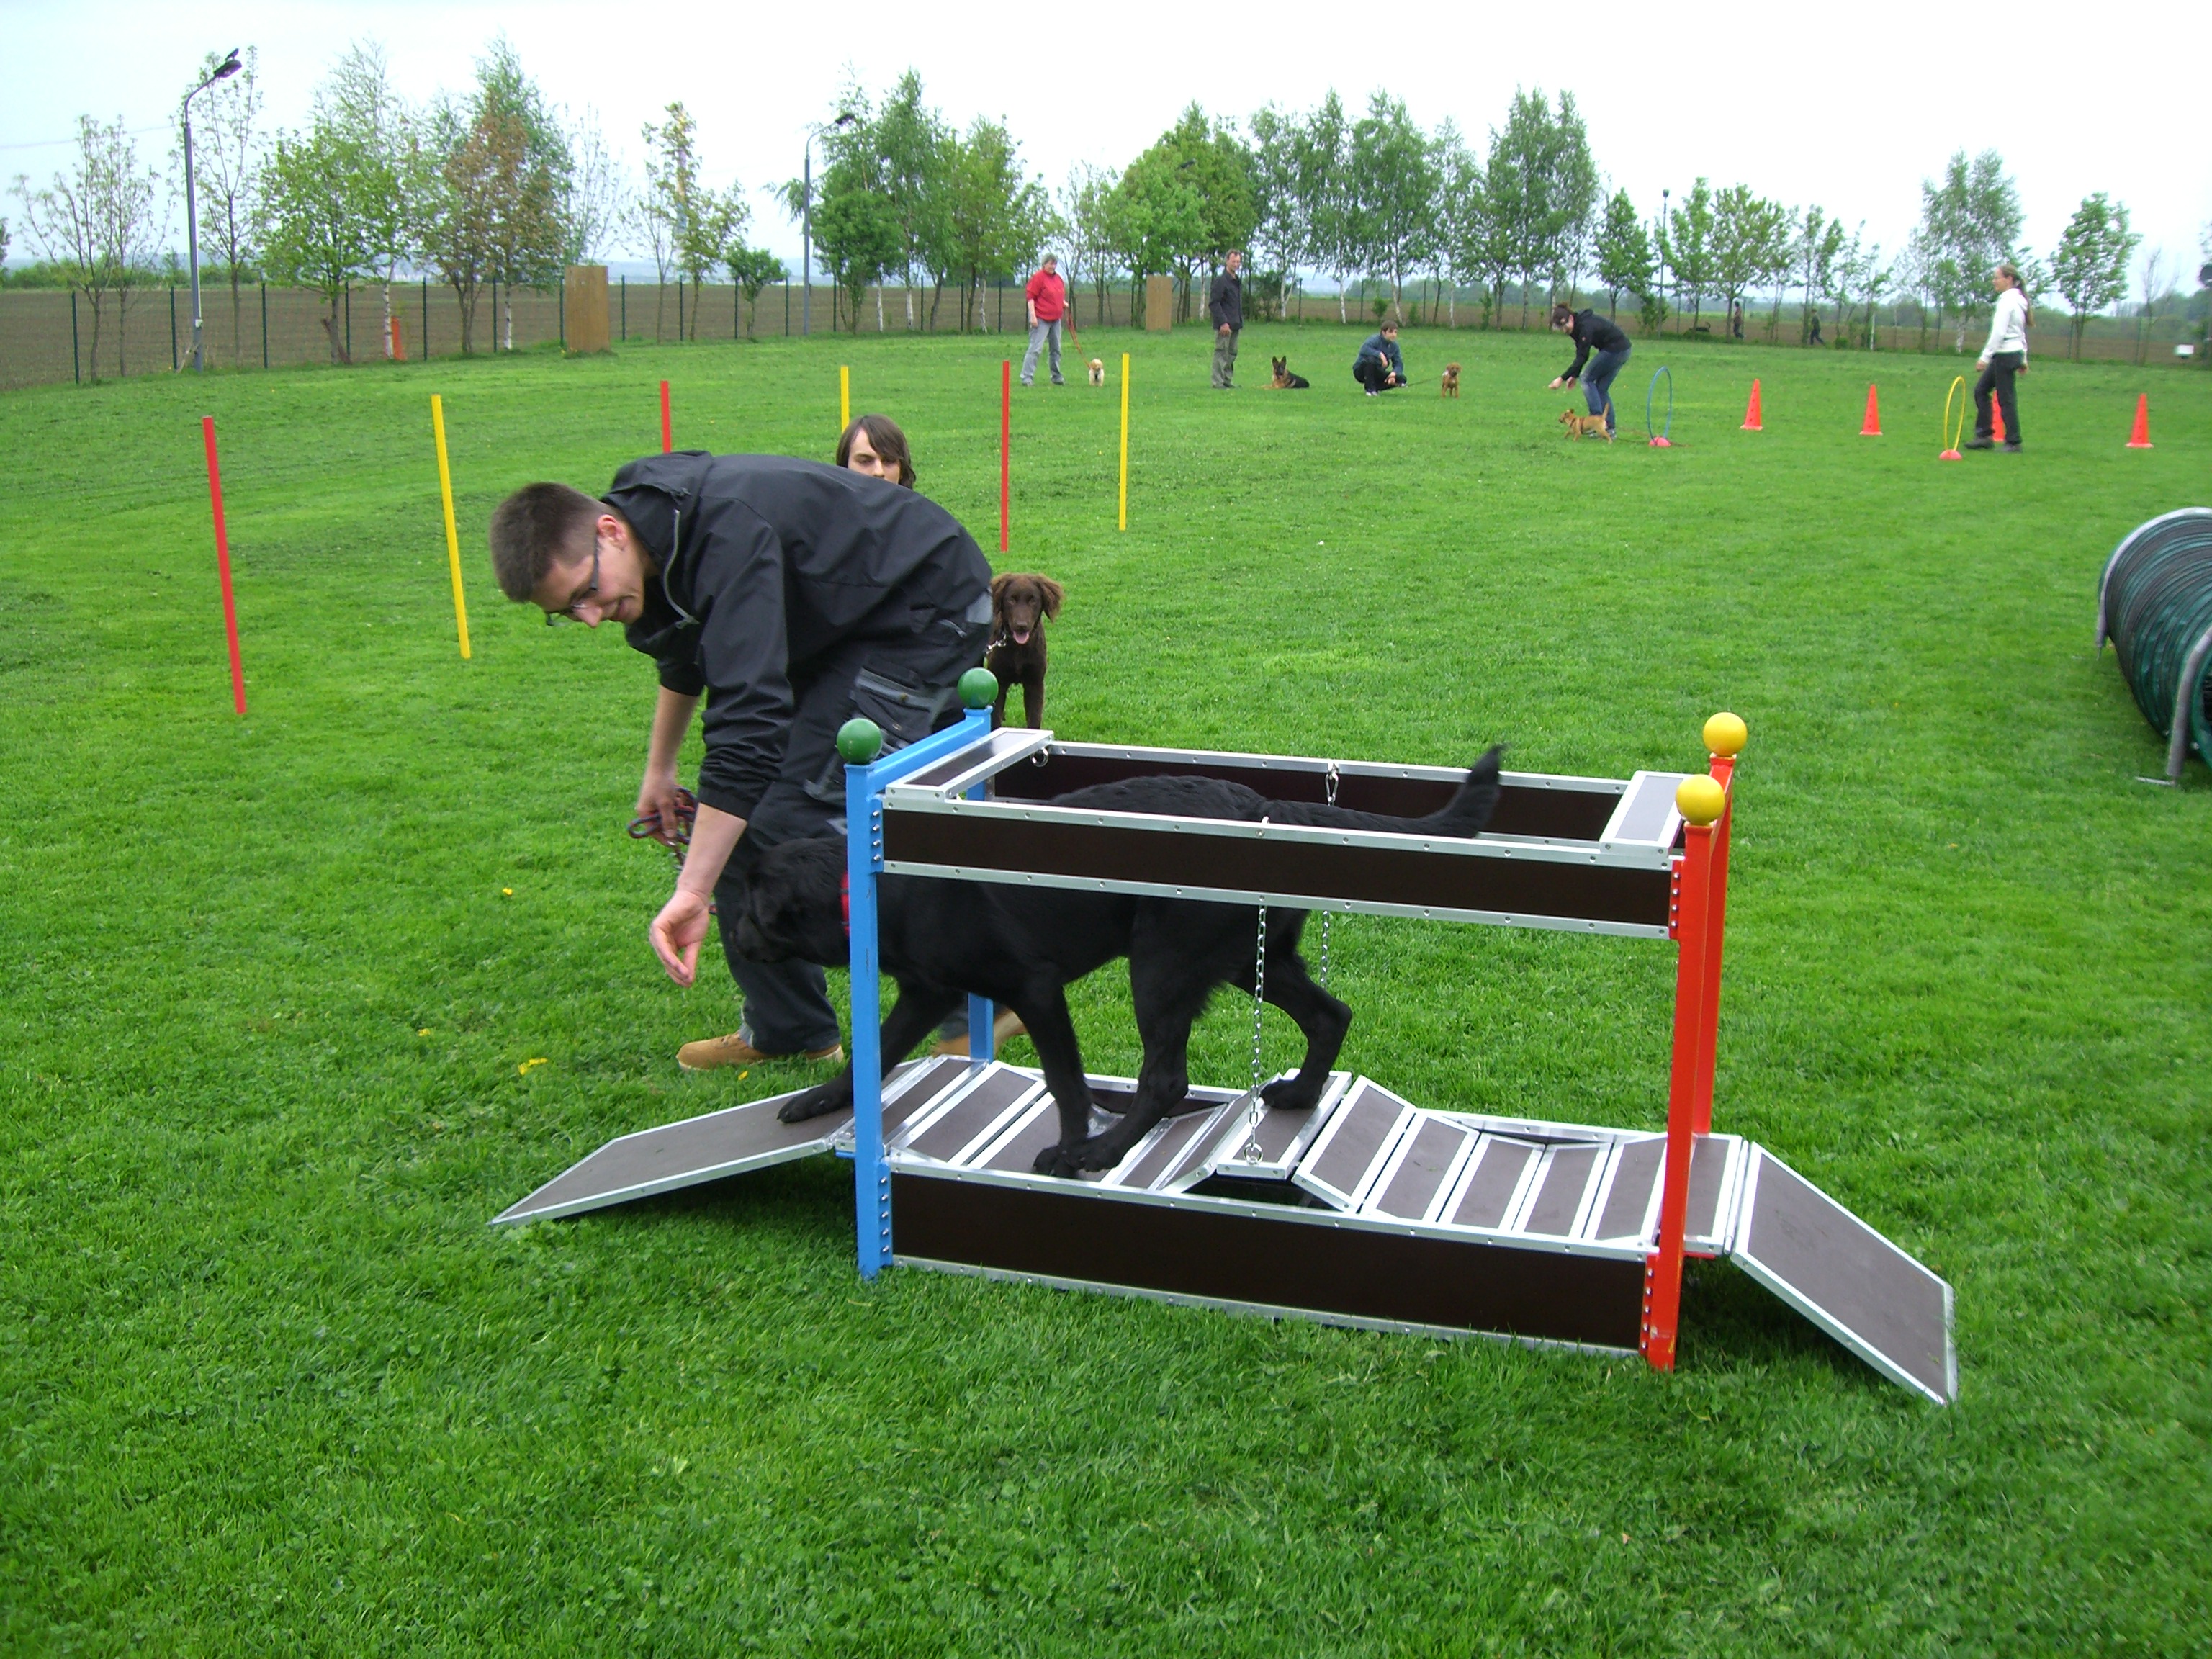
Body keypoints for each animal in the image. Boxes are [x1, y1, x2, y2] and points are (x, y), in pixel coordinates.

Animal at [725, 752, 1503, 1185]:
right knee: (1330, 1013)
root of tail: (1262, 806)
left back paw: (1100, 1154)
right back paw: (1300, 1096)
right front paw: (816, 1101)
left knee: (1165, 1079)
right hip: (1248, 960)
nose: (729, 932)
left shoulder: (1035, 987)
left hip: (1160, 966)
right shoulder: (924, 992)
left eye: (751, 908)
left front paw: (1073, 1145)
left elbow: (1065, 1082)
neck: (866, 884)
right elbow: (877, 1054)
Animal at [986, 570, 1061, 725]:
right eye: (1011, 600)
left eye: (1033, 600)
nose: (1021, 626)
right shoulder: (999, 681)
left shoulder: (1035, 683)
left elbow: (1034, 721)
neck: (1018, 647)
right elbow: (995, 720)